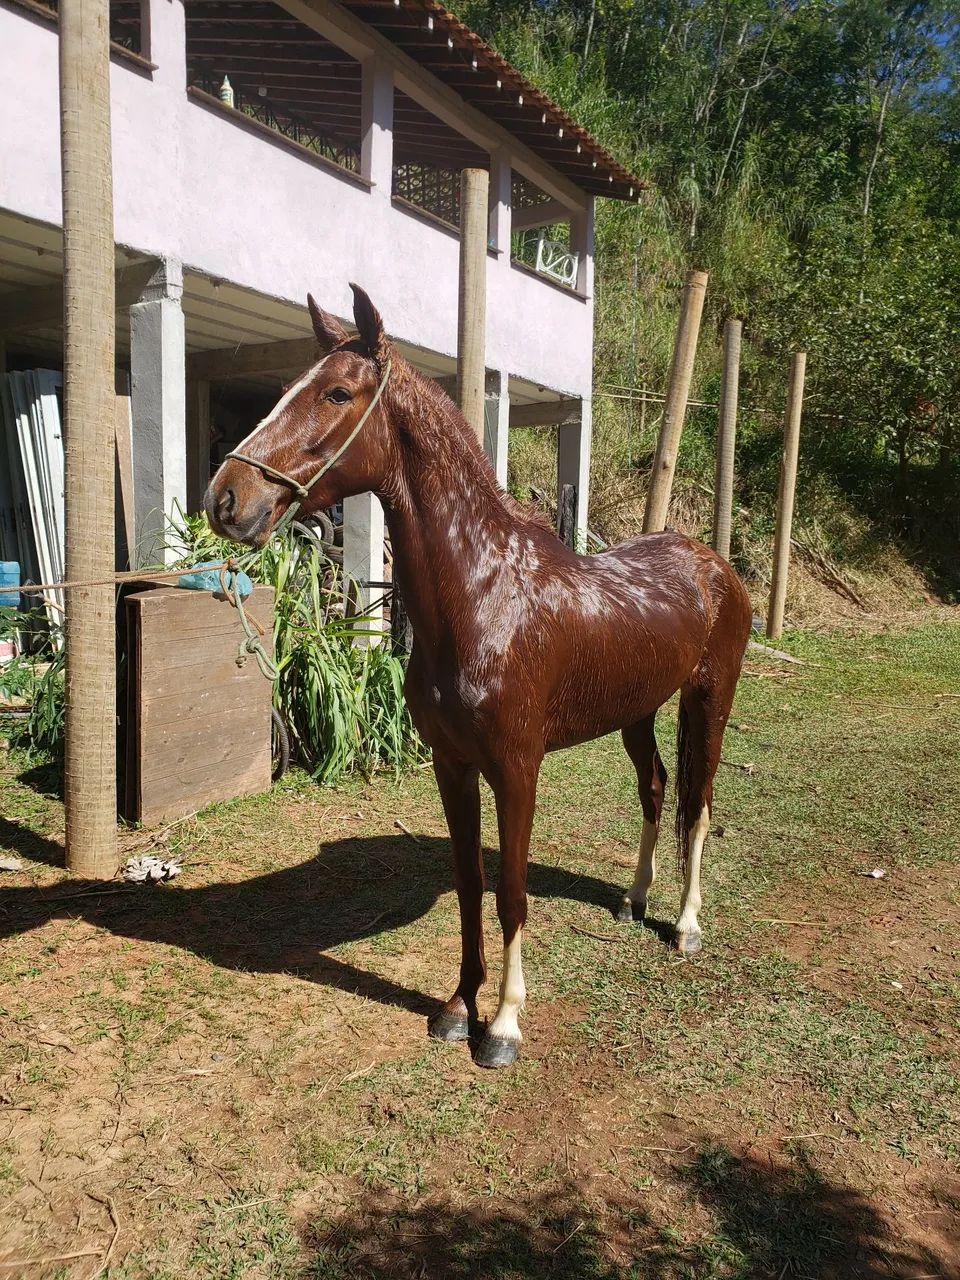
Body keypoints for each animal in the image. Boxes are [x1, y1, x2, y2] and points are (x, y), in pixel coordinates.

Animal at [205, 284, 753, 1070]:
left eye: (337, 392)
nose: (226, 498)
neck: (483, 595)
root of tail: (714, 565)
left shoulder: (517, 769)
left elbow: (513, 893)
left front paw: (504, 1026)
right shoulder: (452, 765)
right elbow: (470, 887)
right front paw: (460, 1007)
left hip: (708, 699)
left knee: (697, 804)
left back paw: (683, 924)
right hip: (636, 713)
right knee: (655, 790)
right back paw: (633, 900)